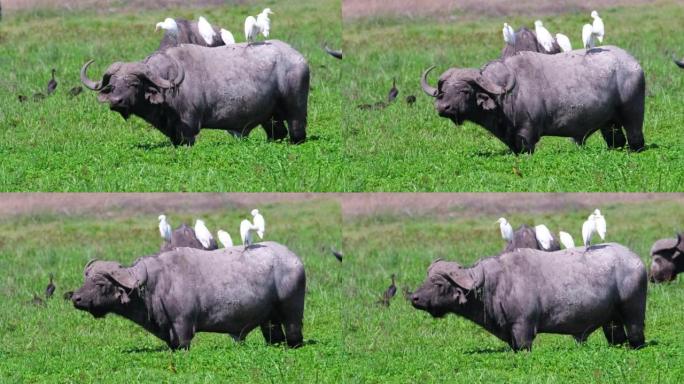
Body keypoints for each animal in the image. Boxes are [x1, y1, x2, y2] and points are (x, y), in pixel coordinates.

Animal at [72, 243, 304, 352]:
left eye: (100, 284)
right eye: (86, 280)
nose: (76, 298)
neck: (154, 286)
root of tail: (295, 259)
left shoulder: (182, 326)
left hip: (292, 313)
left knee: (294, 333)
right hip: (269, 320)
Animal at [79, 40, 310, 146]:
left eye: (134, 84)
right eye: (113, 84)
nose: (116, 101)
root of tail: (299, 58)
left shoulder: (188, 128)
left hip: (296, 110)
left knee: (297, 131)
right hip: (270, 117)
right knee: (277, 133)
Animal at [412, 243, 648, 352]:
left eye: (439, 284)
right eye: (426, 279)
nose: (414, 298)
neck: (493, 285)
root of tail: (636, 260)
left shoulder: (523, 328)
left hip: (633, 313)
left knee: (636, 334)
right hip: (611, 320)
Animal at [422, 45, 648, 153]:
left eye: (465, 91)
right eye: (444, 90)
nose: (443, 107)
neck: (506, 96)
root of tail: (634, 64)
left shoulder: (527, 133)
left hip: (633, 115)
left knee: (635, 137)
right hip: (609, 123)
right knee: (615, 140)